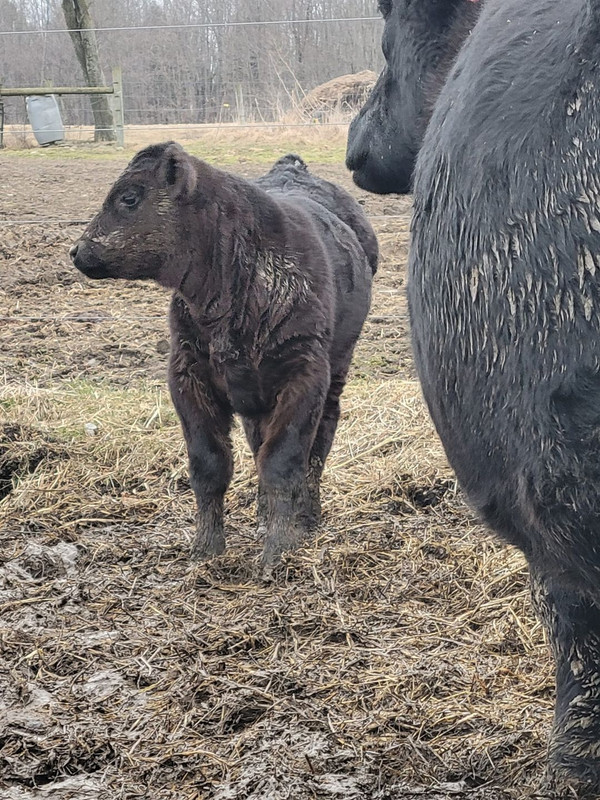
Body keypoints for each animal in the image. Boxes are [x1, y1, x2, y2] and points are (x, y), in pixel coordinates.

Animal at [69, 143, 375, 572]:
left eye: (129, 197)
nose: (77, 250)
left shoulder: (304, 375)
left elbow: (284, 461)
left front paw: (280, 549)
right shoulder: (187, 376)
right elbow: (210, 465)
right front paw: (206, 548)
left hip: (336, 370)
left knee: (319, 441)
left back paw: (308, 515)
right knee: (257, 440)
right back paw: (264, 513)